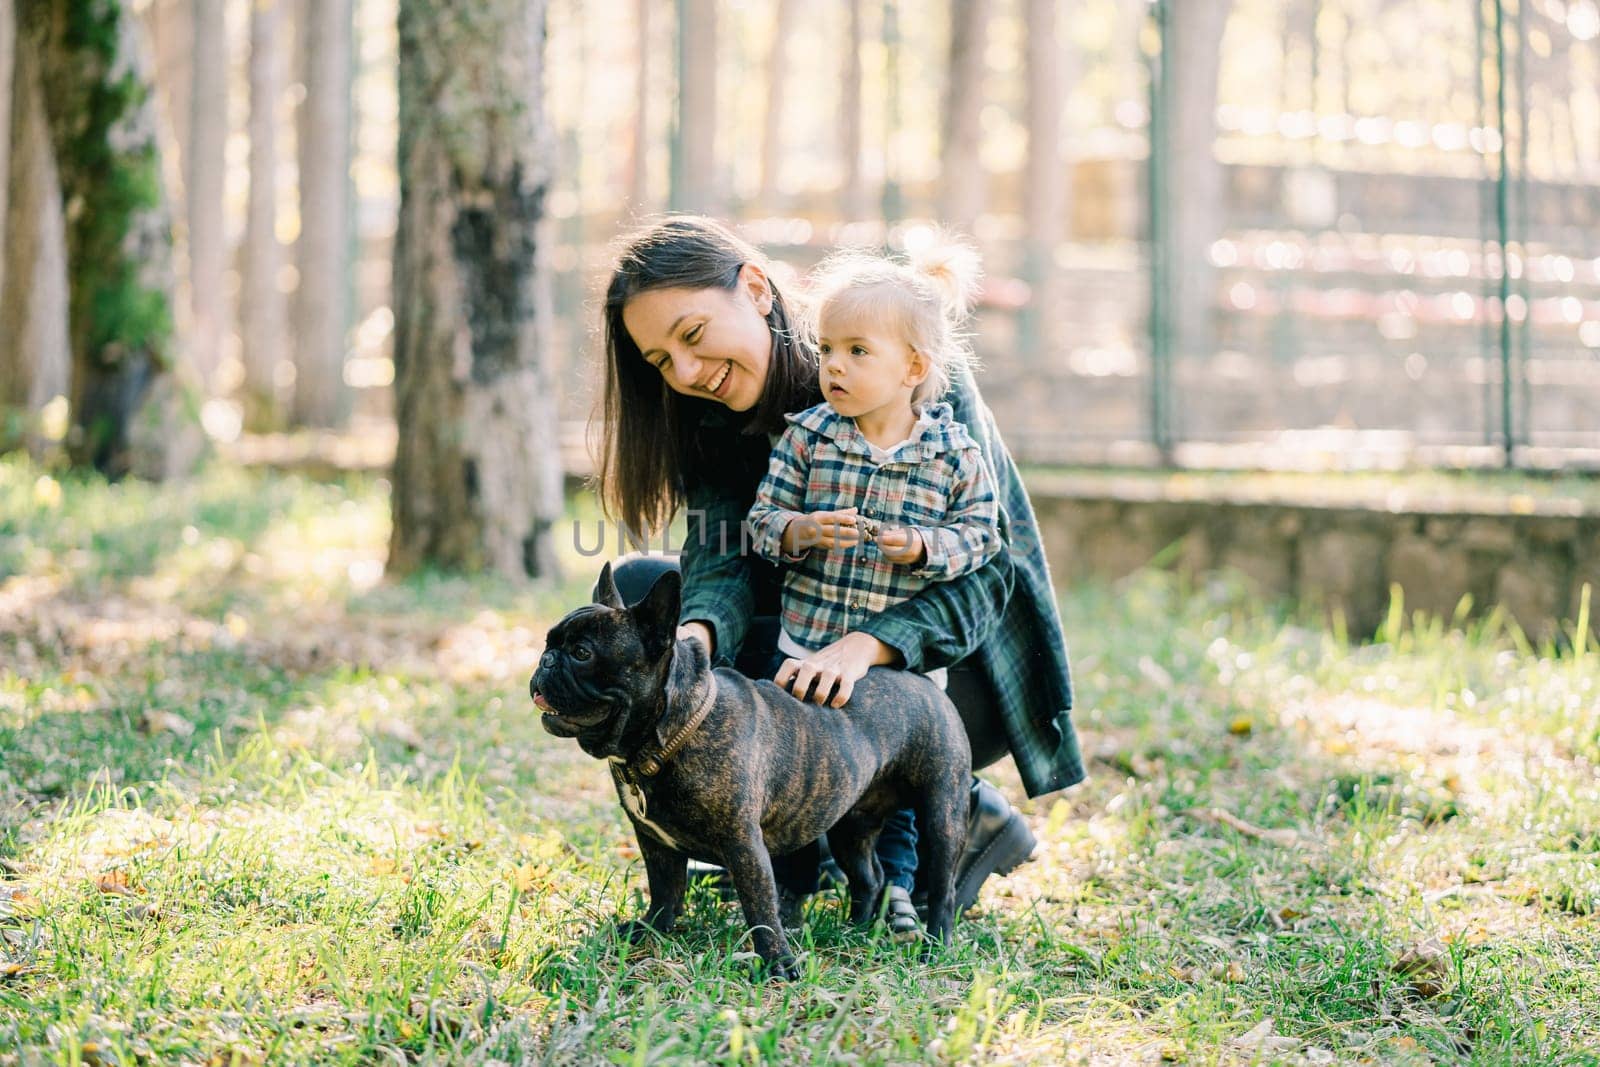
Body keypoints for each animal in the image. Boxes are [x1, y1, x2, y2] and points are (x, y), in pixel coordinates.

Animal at [531, 563, 966, 979]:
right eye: (549, 643)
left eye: (582, 653)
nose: (545, 661)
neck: (671, 734)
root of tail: (925, 681)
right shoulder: (654, 841)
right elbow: (665, 888)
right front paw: (652, 927)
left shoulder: (743, 843)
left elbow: (760, 908)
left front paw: (778, 963)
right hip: (850, 826)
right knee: (868, 876)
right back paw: (855, 928)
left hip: (942, 816)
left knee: (943, 889)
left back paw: (935, 945)